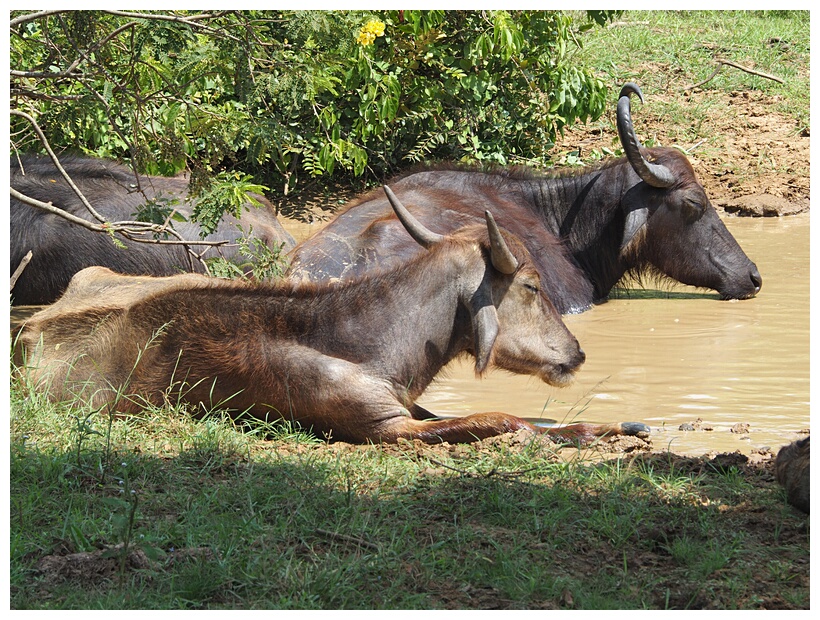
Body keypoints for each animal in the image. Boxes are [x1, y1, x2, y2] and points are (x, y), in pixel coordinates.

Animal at [14, 185, 652, 446]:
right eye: (531, 282)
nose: (577, 352)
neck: (369, 344)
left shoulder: (406, 406)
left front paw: (625, 424)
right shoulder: (384, 427)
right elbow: (502, 419)